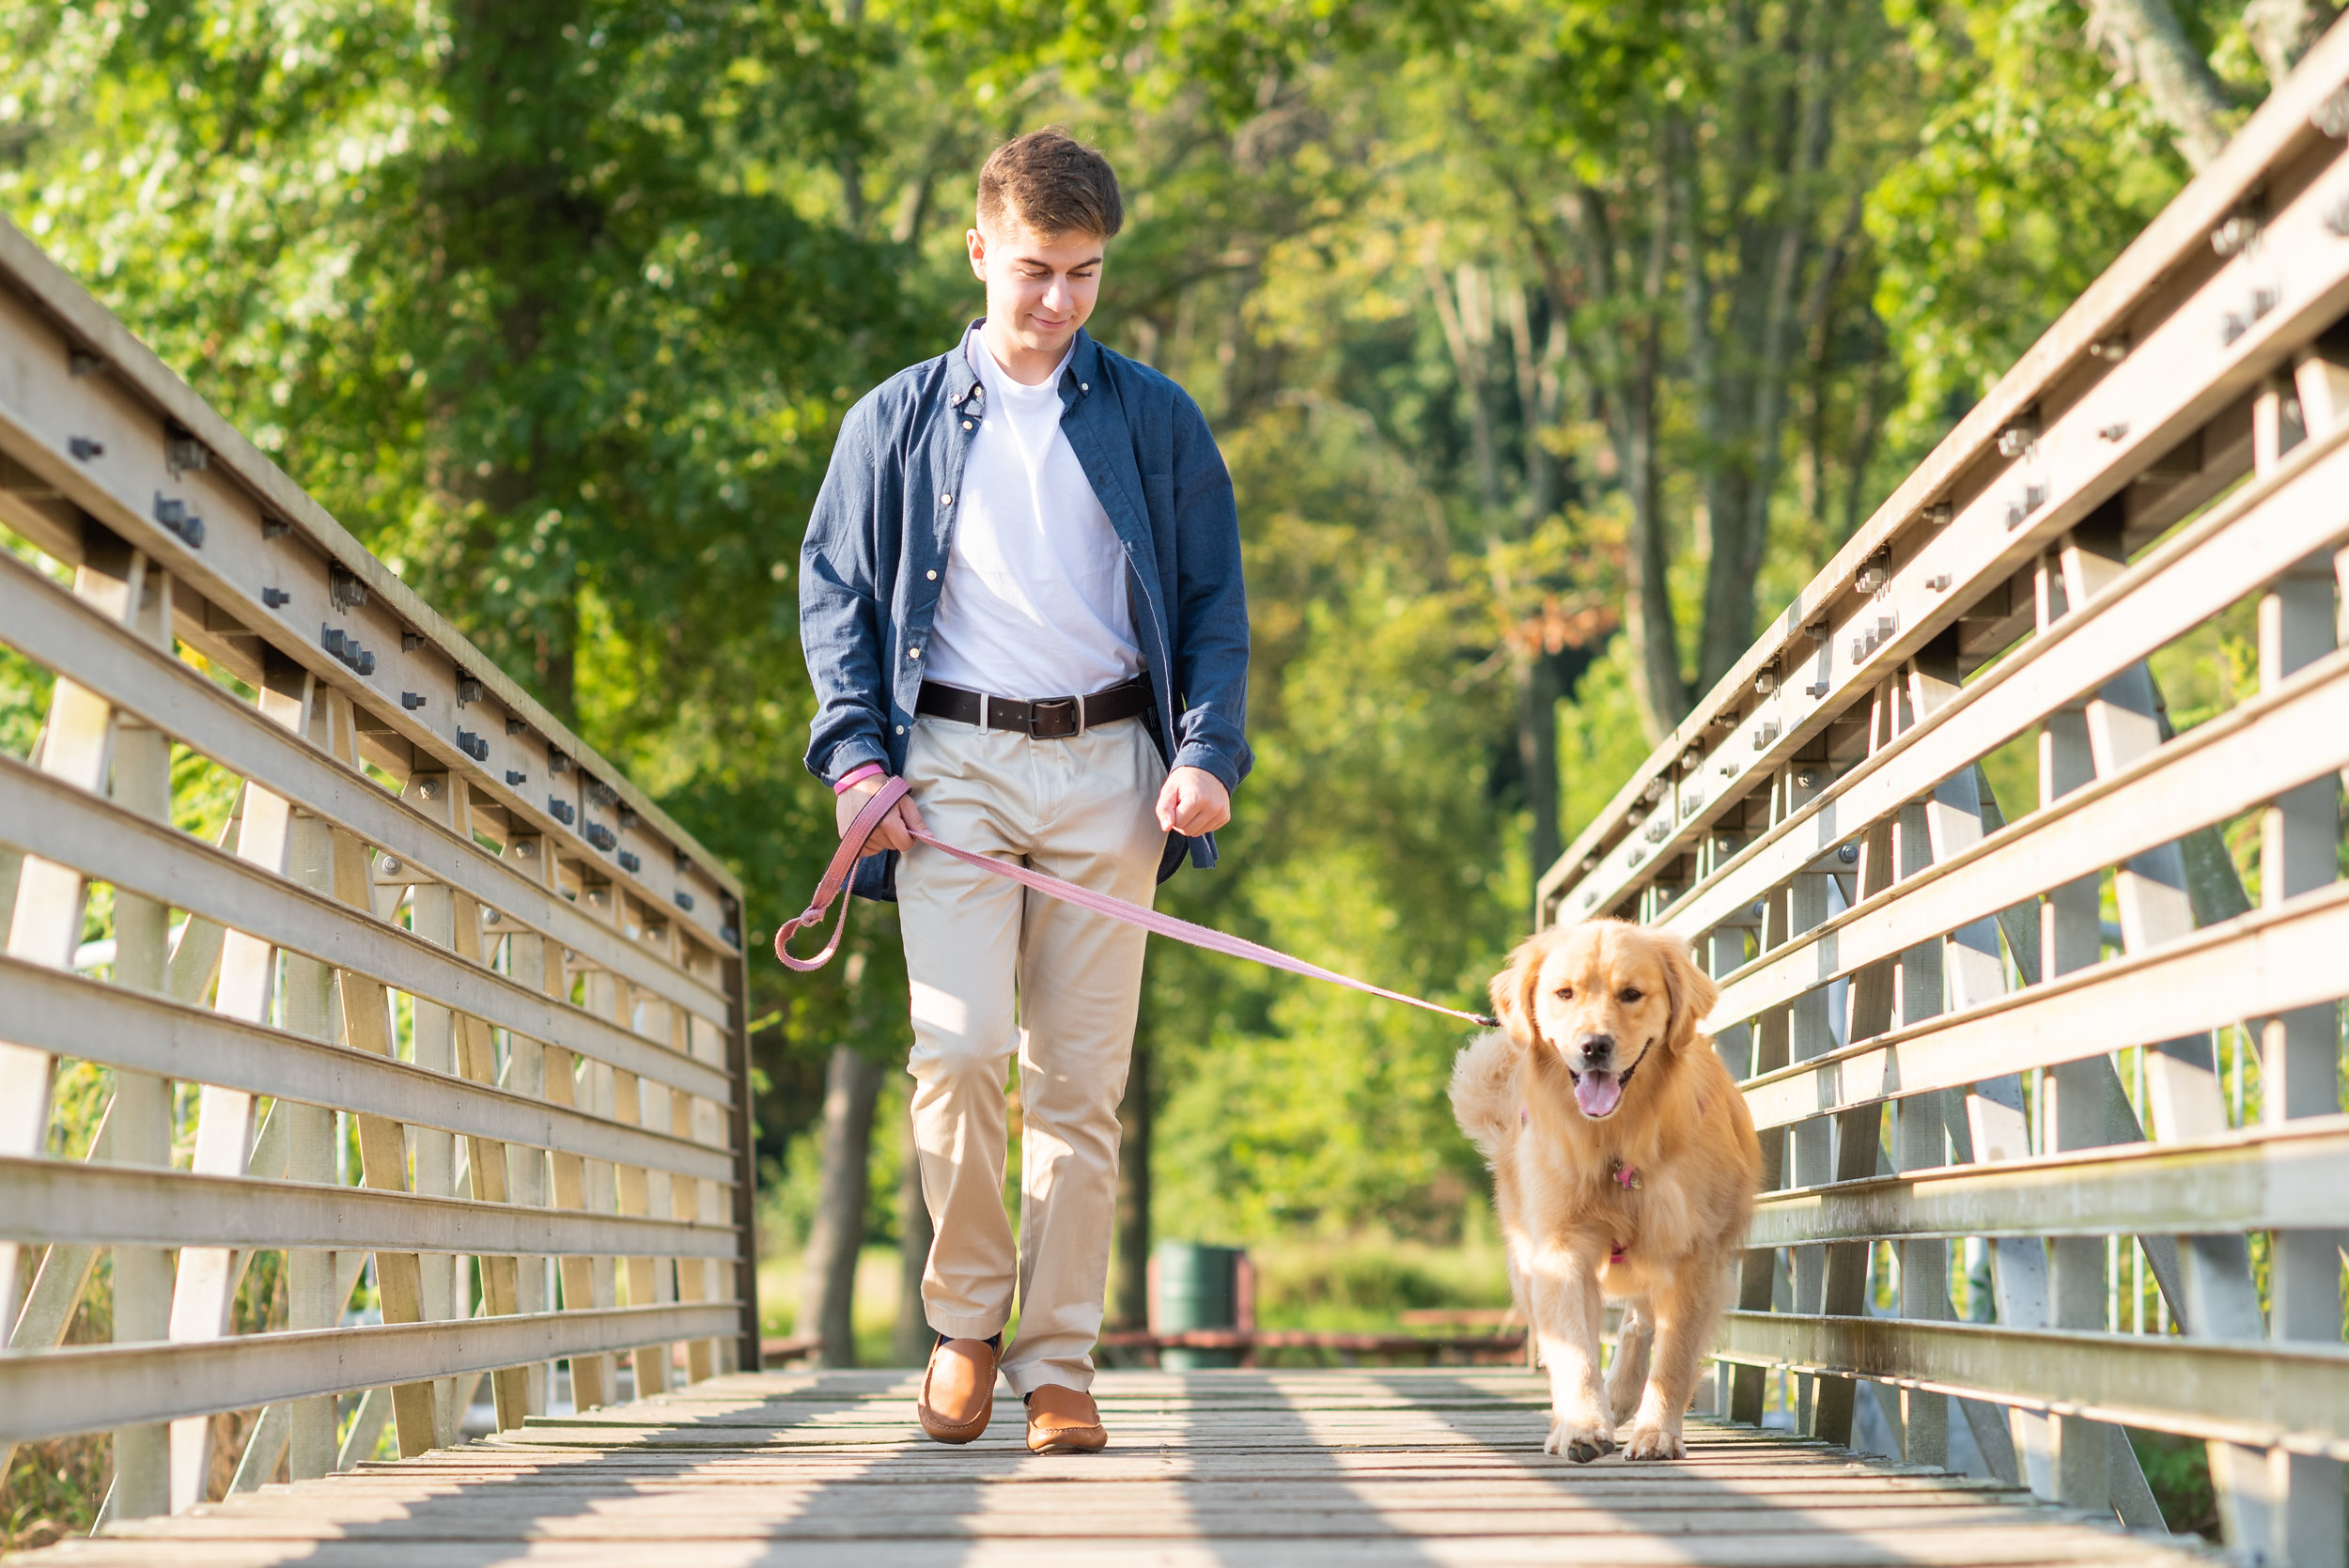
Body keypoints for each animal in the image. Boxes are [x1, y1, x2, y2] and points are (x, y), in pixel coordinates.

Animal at [1447, 920, 1766, 1455]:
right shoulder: (1560, 1247)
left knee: (1641, 1322)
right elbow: (1573, 1348)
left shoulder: (1695, 1253)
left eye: (1631, 994)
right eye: (1564, 993)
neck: (1616, 1140)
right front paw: (1581, 1425)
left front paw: (1657, 1431)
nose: (1594, 1045)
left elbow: (1675, 1356)